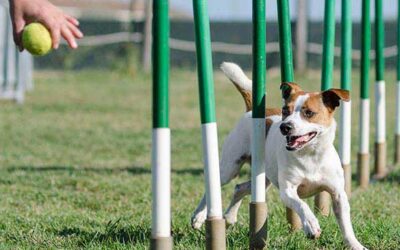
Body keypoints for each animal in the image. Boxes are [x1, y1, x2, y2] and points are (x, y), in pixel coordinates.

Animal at [192, 62, 368, 250]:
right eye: (285, 110)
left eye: (309, 113)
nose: (285, 127)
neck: (310, 155)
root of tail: (251, 110)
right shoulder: (288, 190)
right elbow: (302, 205)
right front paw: (311, 224)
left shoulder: (338, 194)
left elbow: (346, 225)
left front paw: (356, 245)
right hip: (230, 166)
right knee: (215, 185)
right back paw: (199, 216)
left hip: (263, 179)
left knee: (240, 187)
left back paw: (230, 216)